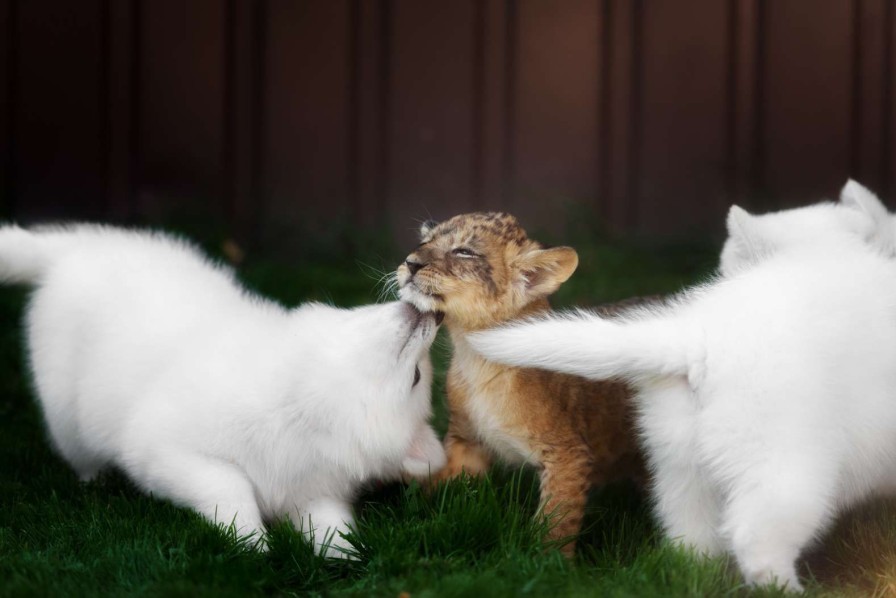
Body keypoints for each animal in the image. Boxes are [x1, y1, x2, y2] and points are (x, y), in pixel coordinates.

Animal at [0, 224, 446, 556]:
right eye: (417, 376)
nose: (436, 315)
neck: (301, 399)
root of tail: (75, 248)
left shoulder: (310, 491)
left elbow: (331, 523)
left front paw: (346, 554)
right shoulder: (168, 451)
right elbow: (230, 486)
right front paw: (252, 541)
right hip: (65, 411)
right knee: (79, 451)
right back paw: (94, 481)